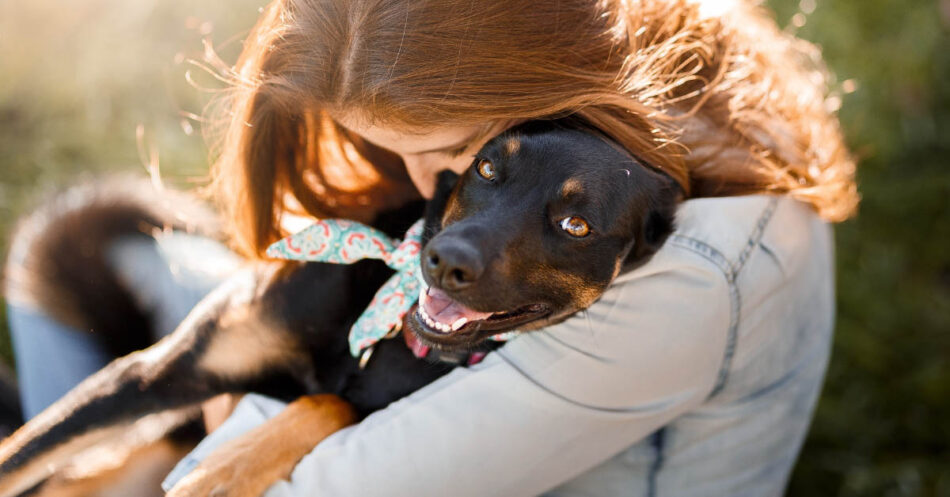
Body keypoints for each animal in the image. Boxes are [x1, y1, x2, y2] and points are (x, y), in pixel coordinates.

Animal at [1, 119, 684, 492]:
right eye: (487, 168)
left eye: (576, 225)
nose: (443, 261)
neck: (384, 323)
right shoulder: (155, 373)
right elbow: (19, 457)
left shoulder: (381, 411)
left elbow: (329, 403)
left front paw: (229, 467)